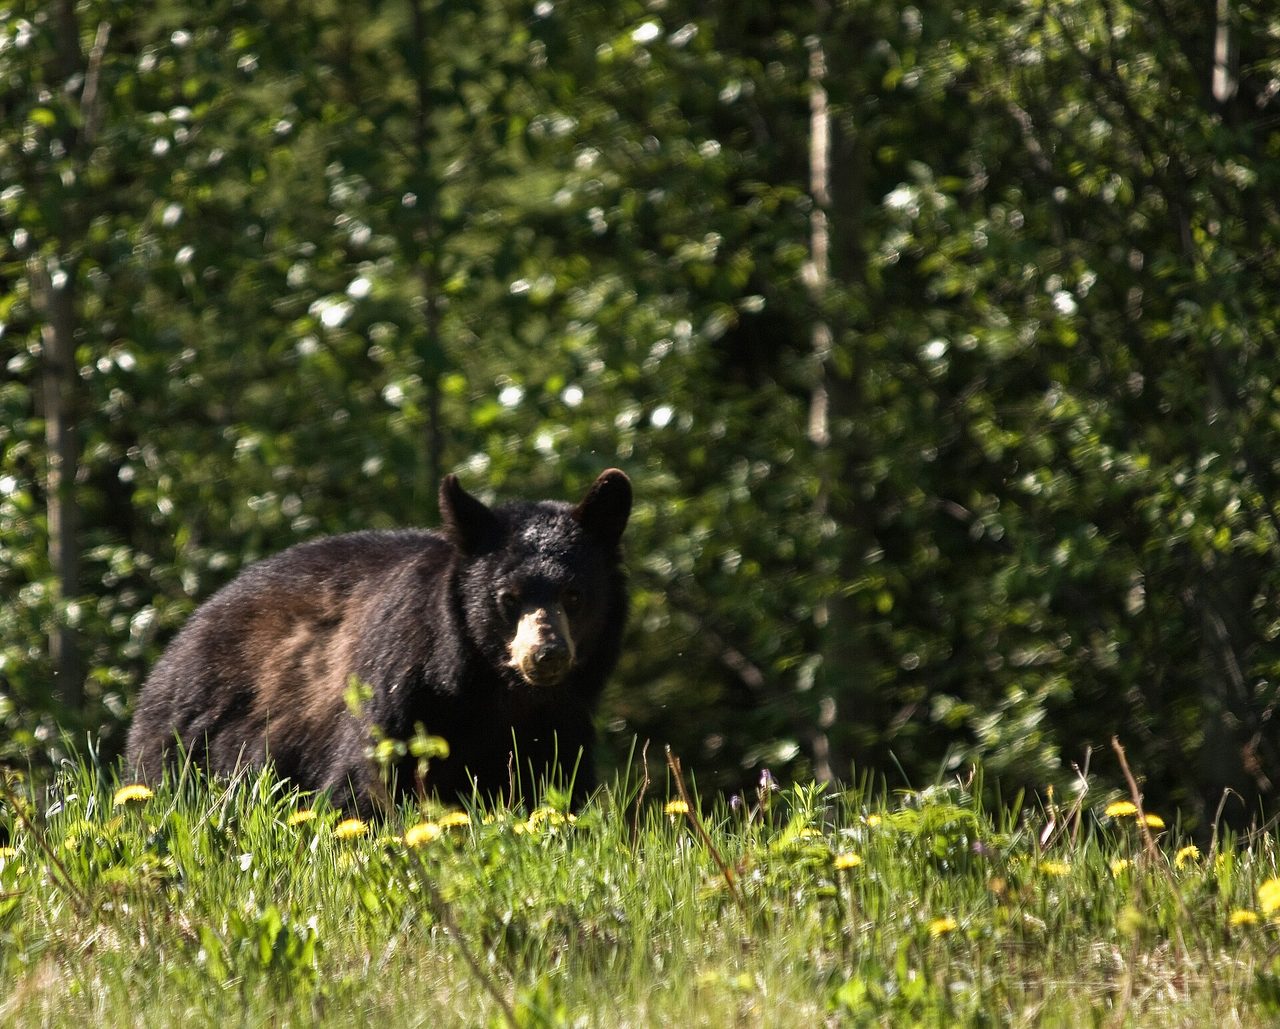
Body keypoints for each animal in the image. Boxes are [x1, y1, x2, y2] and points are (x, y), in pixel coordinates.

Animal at [125, 468, 632, 816]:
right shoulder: (400, 685)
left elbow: (555, 784)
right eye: (508, 597)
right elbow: (363, 783)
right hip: (198, 735)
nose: (546, 654)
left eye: (574, 595)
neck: (495, 692)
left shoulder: (558, 719)